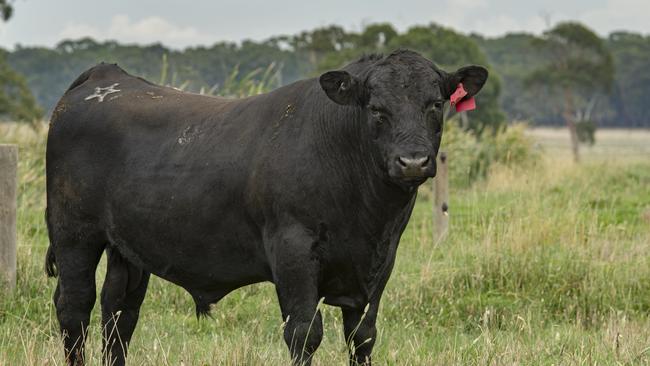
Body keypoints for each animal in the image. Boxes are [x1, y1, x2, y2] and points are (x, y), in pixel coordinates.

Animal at [45, 49, 486, 366]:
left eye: (435, 105)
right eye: (376, 109)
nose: (412, 162)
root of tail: (106, 76)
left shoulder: (379, 261)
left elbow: (362, 336)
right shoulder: (292, 251)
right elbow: (304, 333)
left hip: (127, 248)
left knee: (119, 313)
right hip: (74, 234)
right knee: (75, 308)